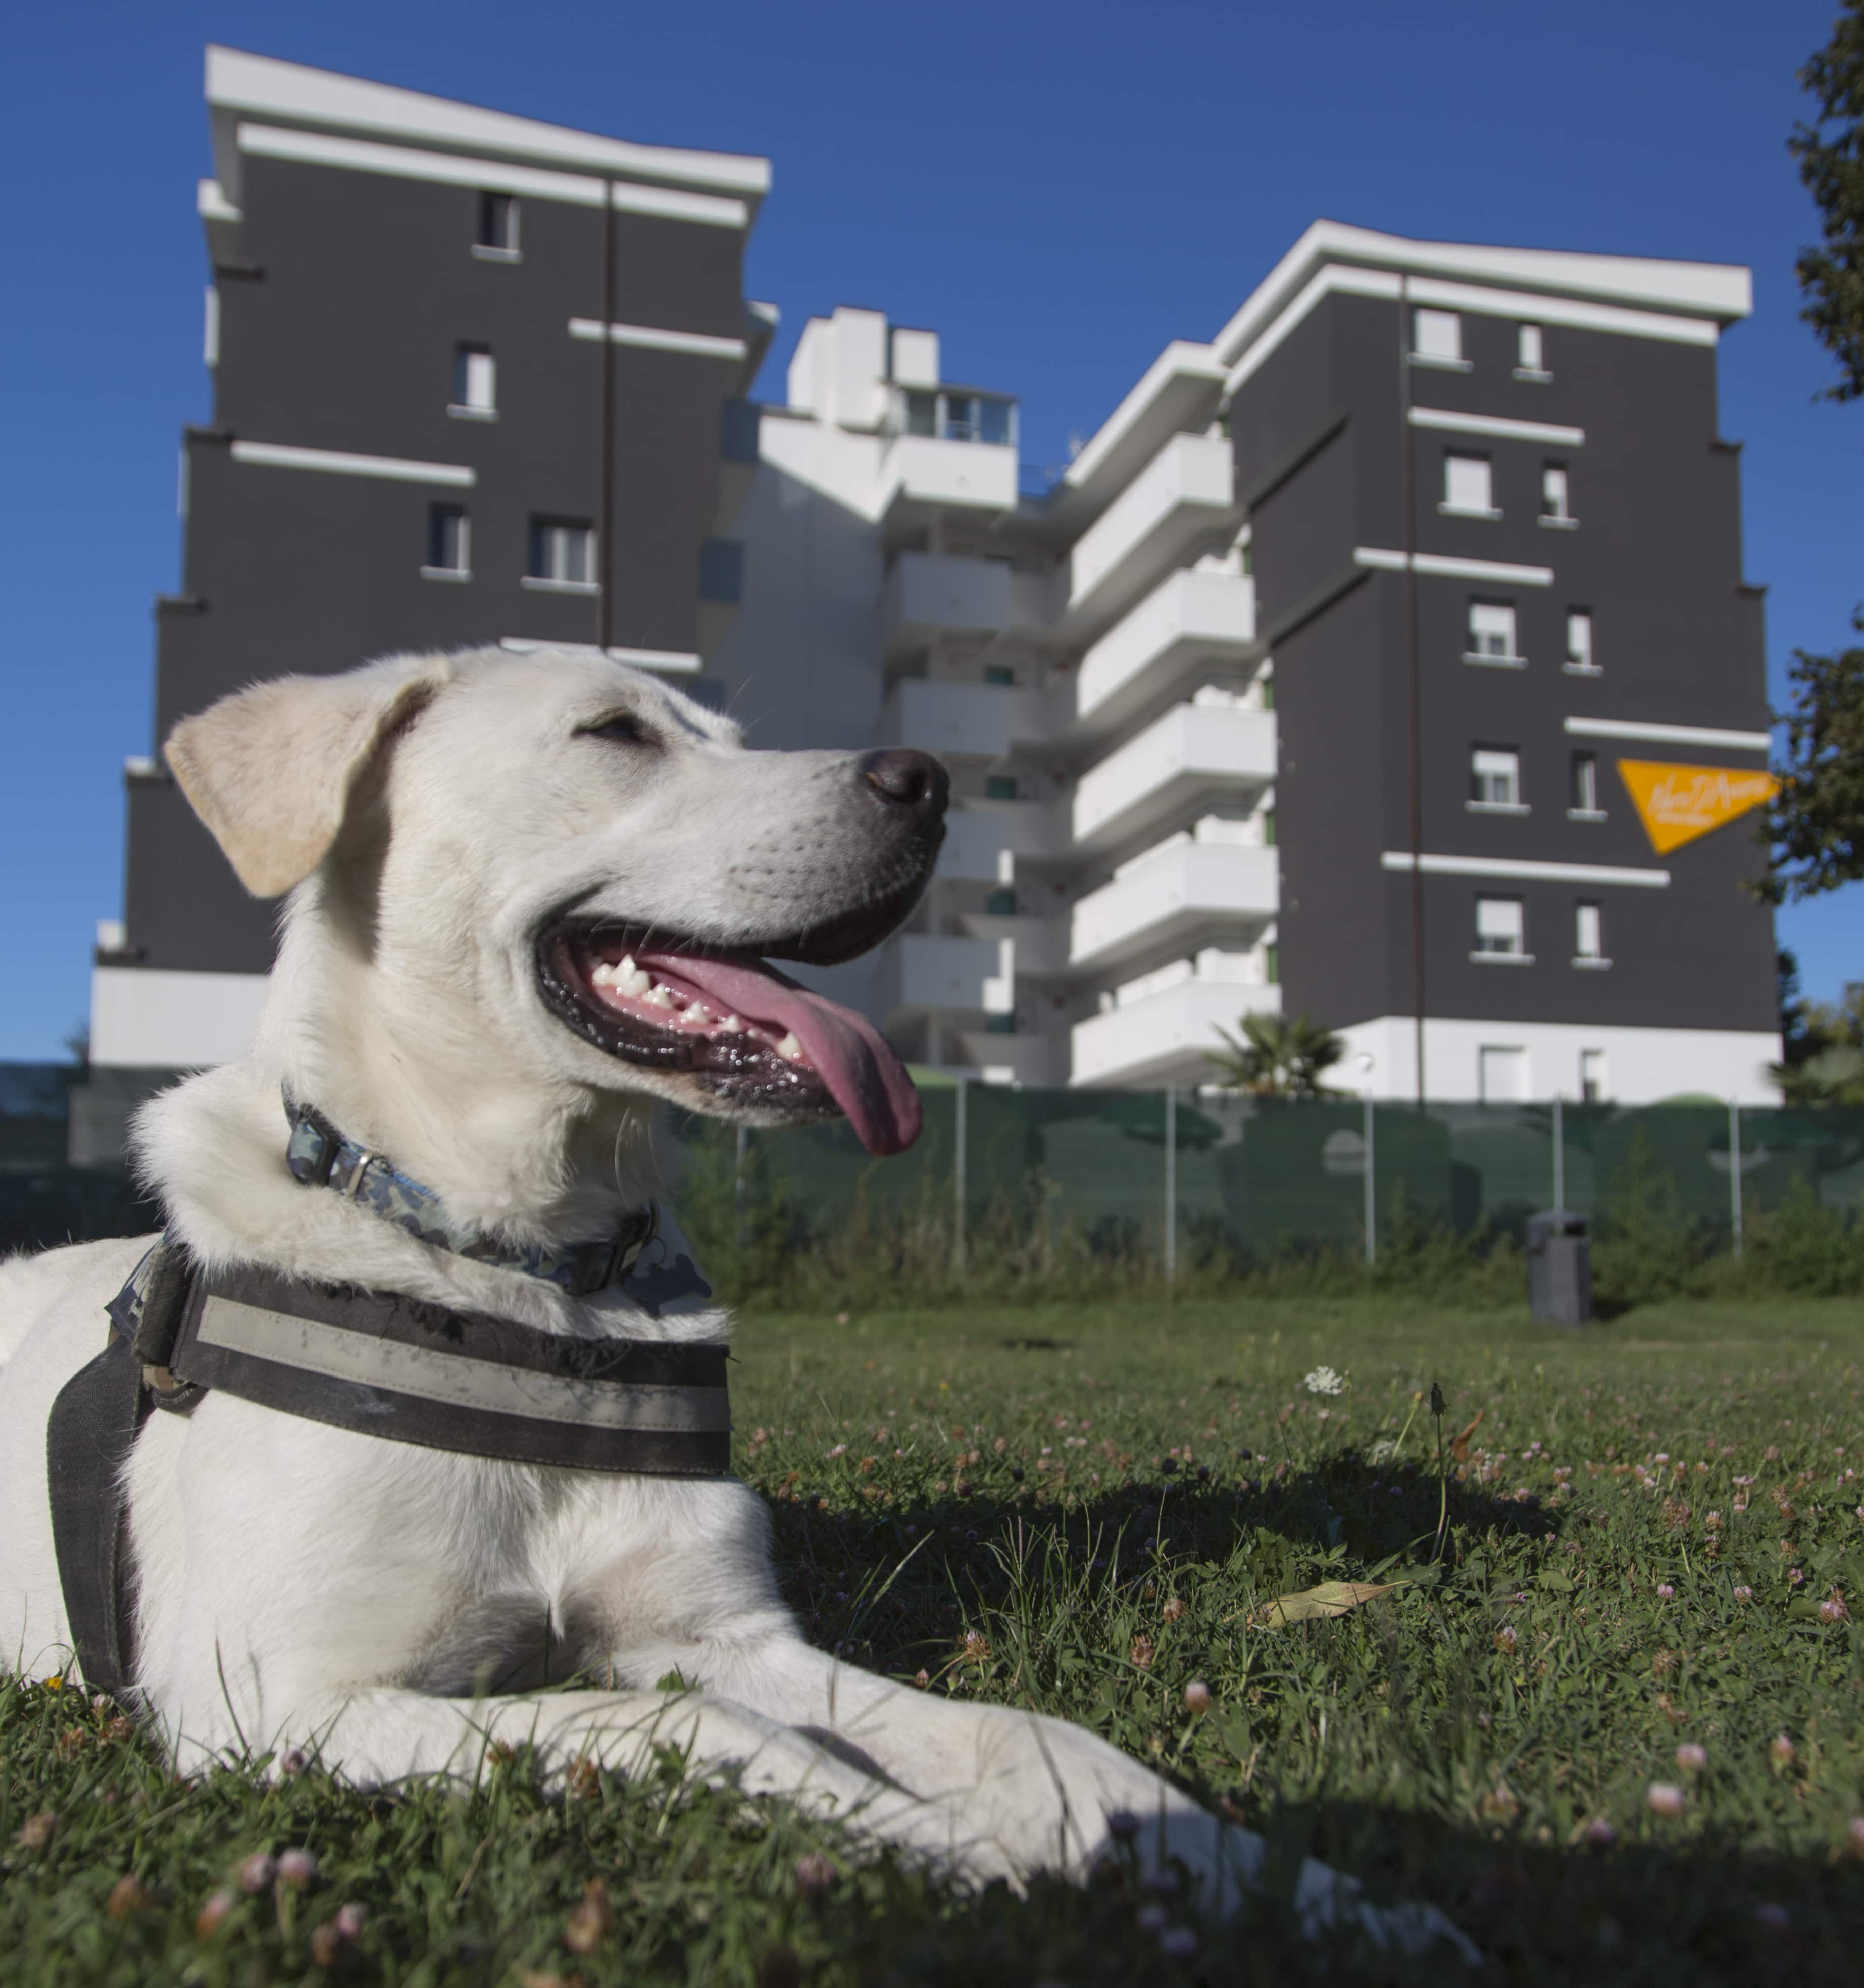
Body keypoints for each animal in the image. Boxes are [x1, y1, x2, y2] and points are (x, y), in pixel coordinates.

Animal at [4, 648, 1470, 1956]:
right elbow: (686, 1727)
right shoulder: (273, 1697)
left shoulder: (717, 1630)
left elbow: (1044, 1742)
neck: (532, 1275)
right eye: (615, 733)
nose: (929, 782)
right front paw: (961, 1854)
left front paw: (1307, 1889)